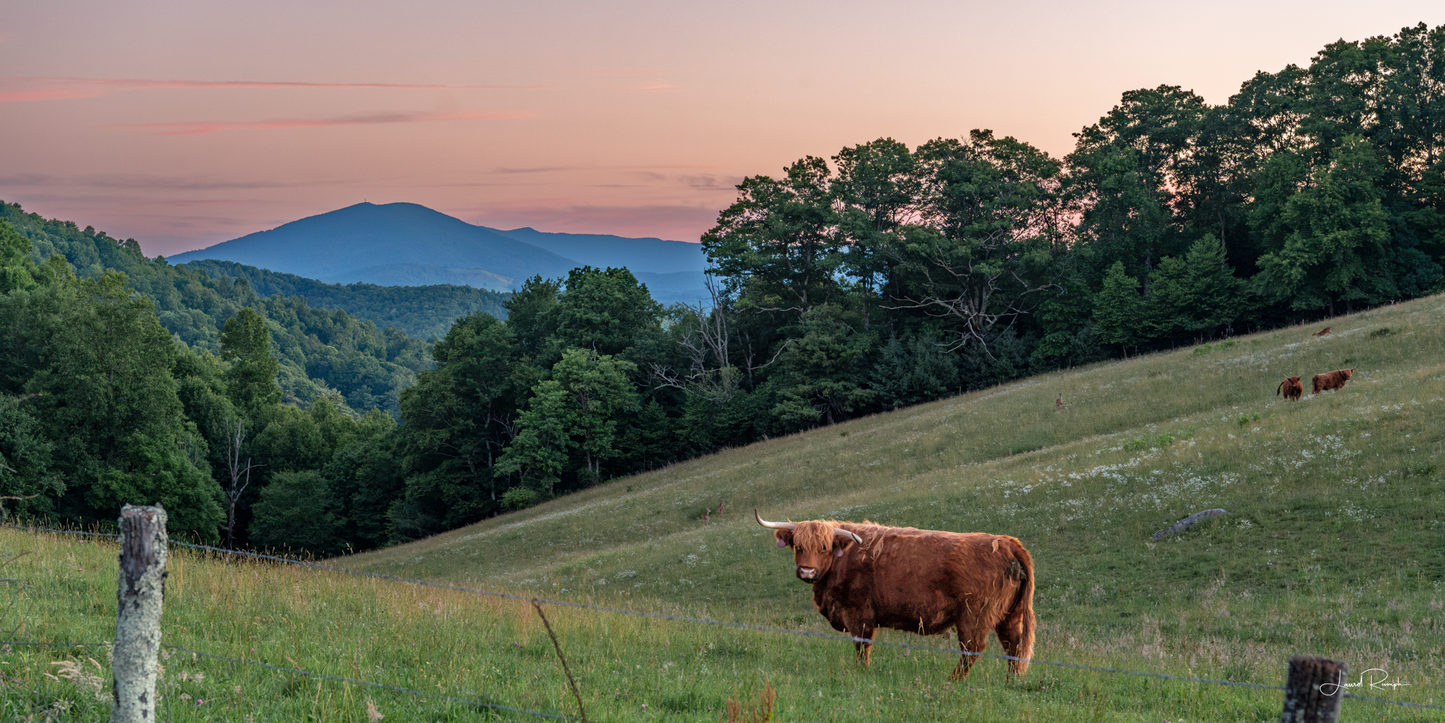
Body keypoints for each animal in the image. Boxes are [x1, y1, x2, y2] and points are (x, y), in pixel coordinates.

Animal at [756, 510, 1034, 680]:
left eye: (824, 548)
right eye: (798, 546)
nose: (807, 571)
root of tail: (1007, 542)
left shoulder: (858, 613)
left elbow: (862, 646)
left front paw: (863, 671)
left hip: (973, 617)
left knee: (972, 650)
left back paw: (951, 681)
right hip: (1010, 615)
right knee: (1014, 646)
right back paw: (1011, 681)